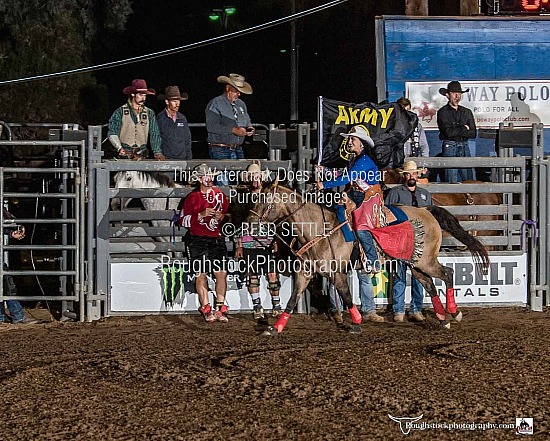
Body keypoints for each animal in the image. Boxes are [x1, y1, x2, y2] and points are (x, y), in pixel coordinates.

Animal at [248, 181, 490, 334]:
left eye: (265, 201)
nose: (248, 223)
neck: (319, 230)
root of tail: (426, 211)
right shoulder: (304, 274)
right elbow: (291, 300)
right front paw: (275, 328)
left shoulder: (337, 273)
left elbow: (346, 296)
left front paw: (356, 323)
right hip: (415, 264)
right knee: (430, 285)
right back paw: (442, 319)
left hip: (426, 261)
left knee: (447, 273)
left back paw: (454, 313)